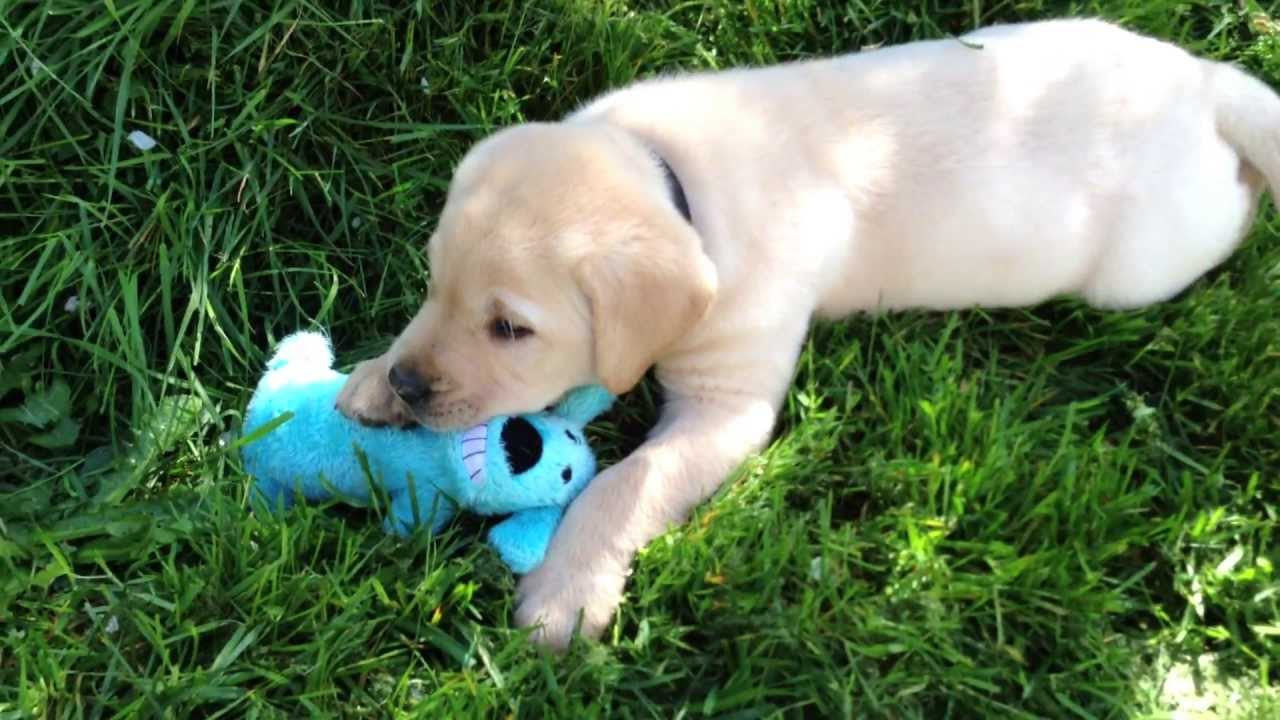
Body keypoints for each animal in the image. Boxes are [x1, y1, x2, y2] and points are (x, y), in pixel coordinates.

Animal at [340, 18, 1280, 645]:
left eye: (510, 327)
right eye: (434, 284)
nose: (412, 388)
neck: (678, 183)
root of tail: (1204, 79)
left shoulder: (727, 405)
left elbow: (626, 484)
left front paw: (567, 593)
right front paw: (369, 376)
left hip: (1144, 267)